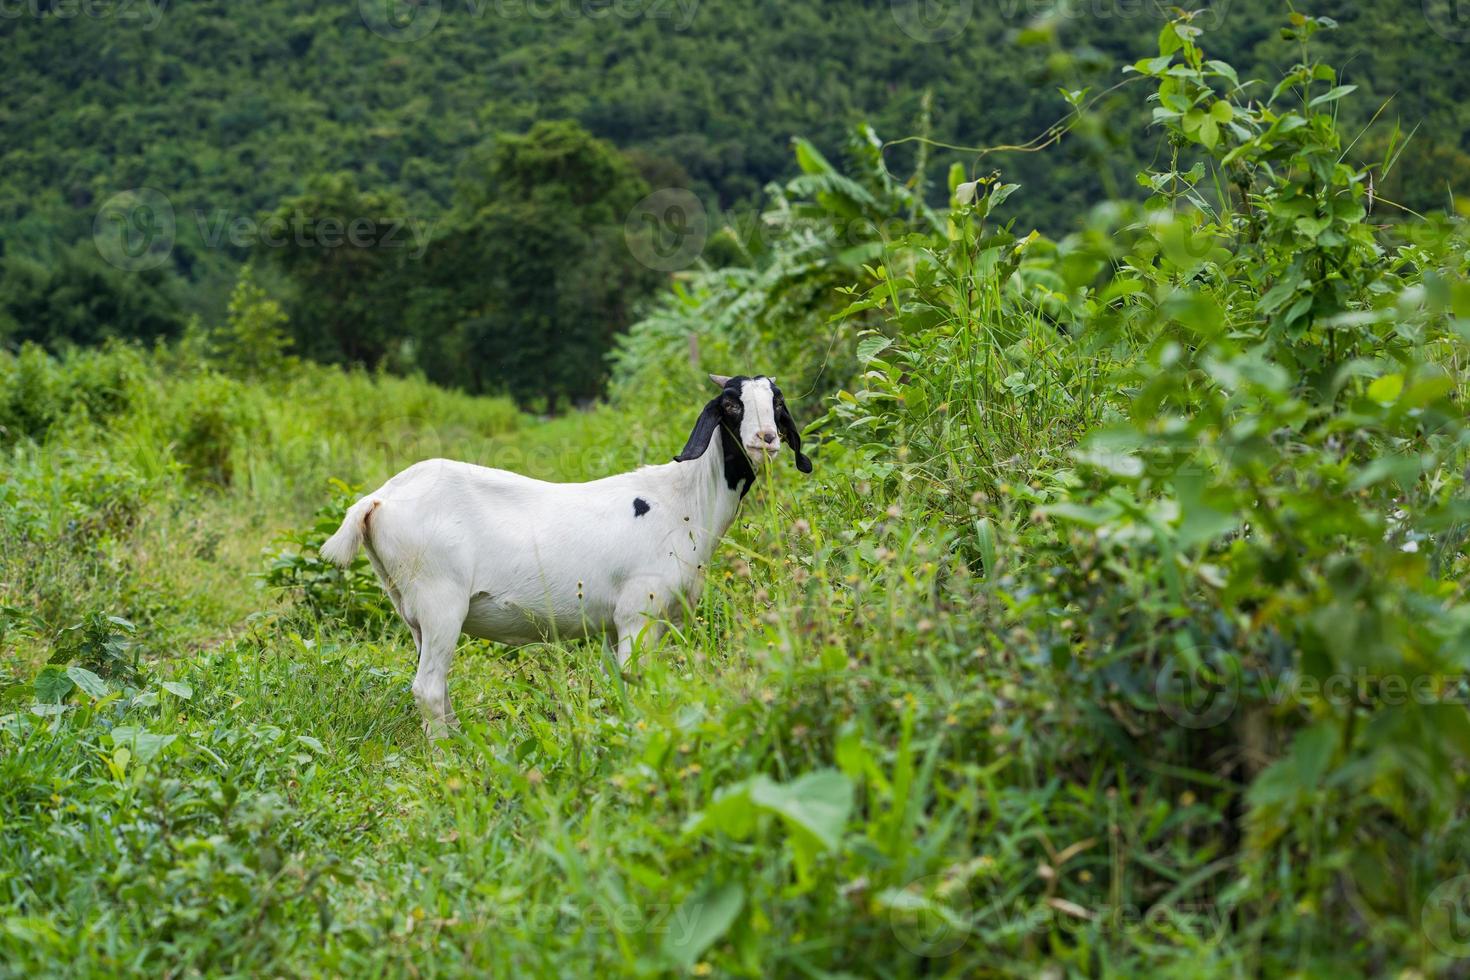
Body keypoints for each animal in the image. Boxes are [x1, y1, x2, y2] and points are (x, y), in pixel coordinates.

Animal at [317, 376, 817, 734]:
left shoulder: (617, 624)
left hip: (410, 608)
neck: (684, 499)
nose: (767, 438)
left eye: (777, 403)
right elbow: (638, 681)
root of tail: (378, 499)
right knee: (428, 688)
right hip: (441, 600)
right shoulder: (639, 611)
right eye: (732, 405)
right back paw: (447, 757)